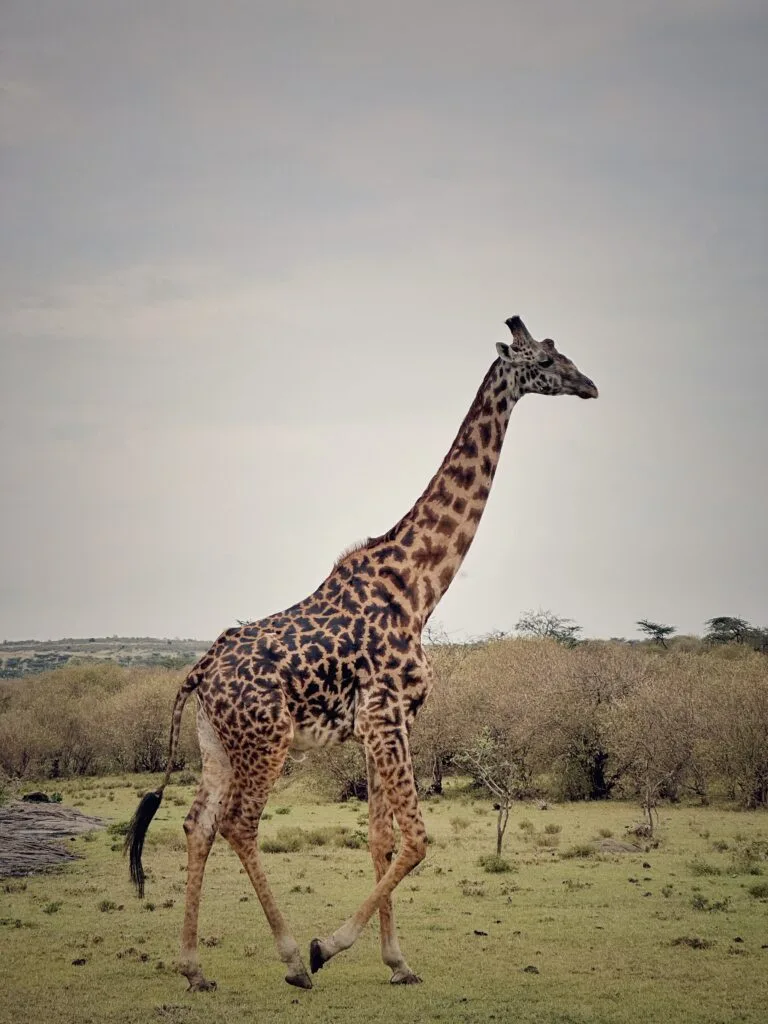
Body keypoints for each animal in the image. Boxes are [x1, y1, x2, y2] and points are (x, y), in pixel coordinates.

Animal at [125, 314, 598, 992]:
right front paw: (330, 945)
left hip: (217, 743)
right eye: (542, 360)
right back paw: (293, 959)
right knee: (240, 823)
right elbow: (417, 839)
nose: (589, 384)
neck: (419, 586)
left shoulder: (381, 726)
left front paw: (397, 961)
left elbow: (380, 839)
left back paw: (193, 968)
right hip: (266, 741)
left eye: (561, 352)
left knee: (199, 824)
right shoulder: (386, 716)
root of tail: (200, 671)